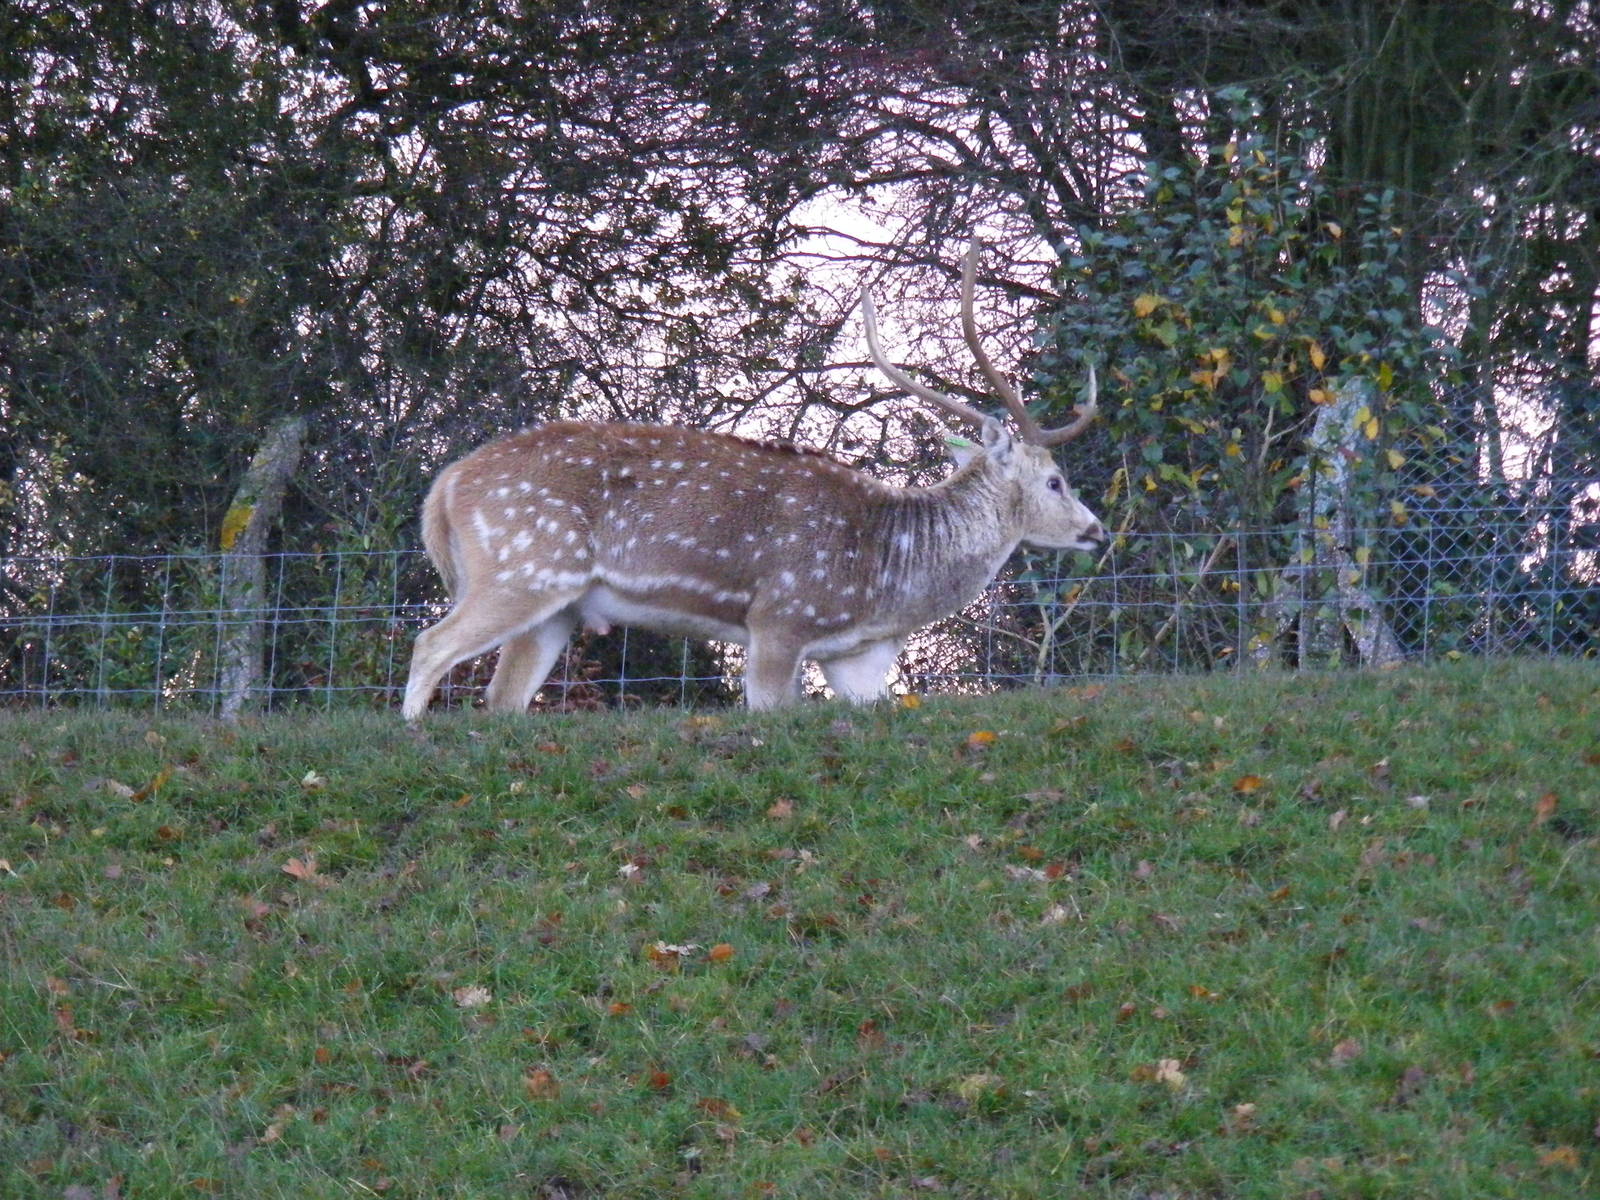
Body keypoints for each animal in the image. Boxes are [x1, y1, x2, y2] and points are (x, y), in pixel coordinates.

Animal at [401, 238, 1104, 720]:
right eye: (1055, 481)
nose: (1097, 532)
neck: (886, 579)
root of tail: (446, 486)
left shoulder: (852, 656)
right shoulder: (780, 615)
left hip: (556, 603)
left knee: (502, 697)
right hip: (521, 565)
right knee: (430, 645)